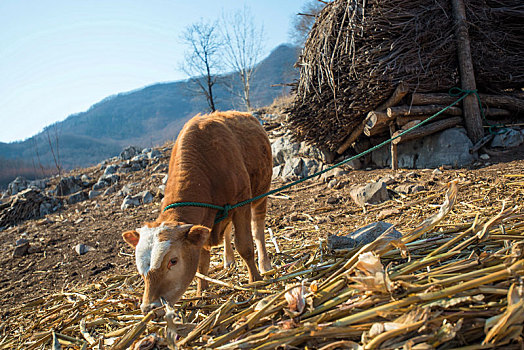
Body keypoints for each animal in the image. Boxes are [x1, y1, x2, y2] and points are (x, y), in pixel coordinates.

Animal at [121, 110, 272, 314]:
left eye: (173, 261)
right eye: (139, 267)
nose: (149, 307)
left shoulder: (242, 202)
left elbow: (245, 246)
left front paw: (255, 280)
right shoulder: (205, 222)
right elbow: (202, 263)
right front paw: (202, 293)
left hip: (260, 194)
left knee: (258, 229)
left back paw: (265, 265)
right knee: (227, 232)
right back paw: (228, 260)